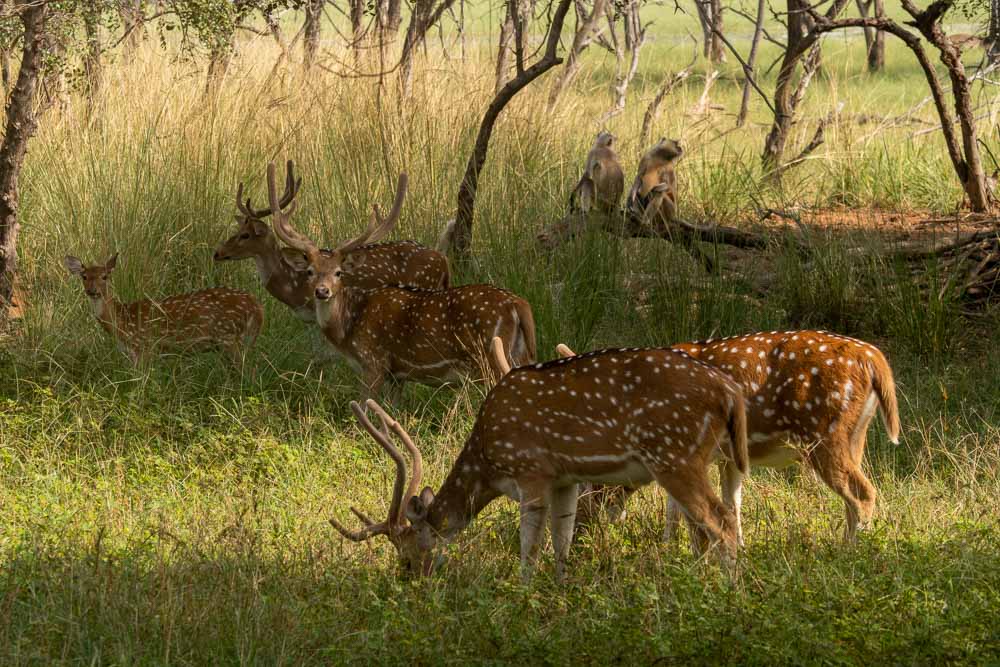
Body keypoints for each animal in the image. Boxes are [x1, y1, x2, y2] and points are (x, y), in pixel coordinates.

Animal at [64, 253, 264, 366]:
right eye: (84, 276)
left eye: (105, 276)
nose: (92, 291)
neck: (122, 322)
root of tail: (257, 305)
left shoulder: (144, 347)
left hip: (229, 336)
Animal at [262, 164, 536, 400]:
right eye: (310, 271)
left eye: (339, 272)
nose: (322, 291)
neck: (348, 329)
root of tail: (519, 305)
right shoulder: (398, 375)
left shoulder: (374, 362)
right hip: (521, 354)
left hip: (490, 356)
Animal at [332, 348, 748, 580]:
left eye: (405, 555)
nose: (409, 581)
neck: (488, 460)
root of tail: (730, 391)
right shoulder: (564, 478)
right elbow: (562, 542)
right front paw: (561, 592)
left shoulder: (530, 470)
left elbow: (529, 549)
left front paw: (524, 596)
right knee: (716, 520)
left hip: (675, 454)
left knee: (721, 520)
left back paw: (729, 595)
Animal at [552, 328, 904, 544]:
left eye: (592, 476)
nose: (583, 525)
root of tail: (874, 360)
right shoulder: (725, 457)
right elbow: (729, 504)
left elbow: (681, 506)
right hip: (855, 435)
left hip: (824, 432)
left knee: (862, 493)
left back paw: (853, 552)